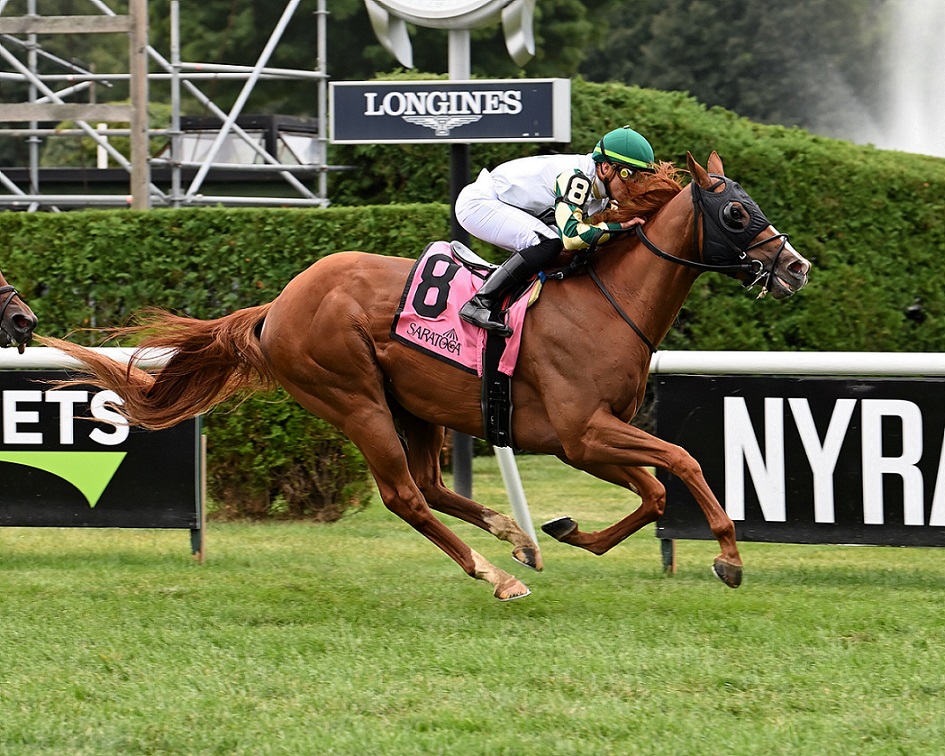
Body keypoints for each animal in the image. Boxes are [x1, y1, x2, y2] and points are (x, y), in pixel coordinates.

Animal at [39, 152, 810, 601]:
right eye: (736, 211)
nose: (796, 267)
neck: (603, 303)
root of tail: (277, 306)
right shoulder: (580, 435)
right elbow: (679, 461)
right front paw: (729, 556)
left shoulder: (593, 437)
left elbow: (653, 493)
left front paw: (565, 531)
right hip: (353, 399)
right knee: (404, 497)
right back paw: (496, 574)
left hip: (412, 405)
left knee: (433, 486)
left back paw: (515, 536)